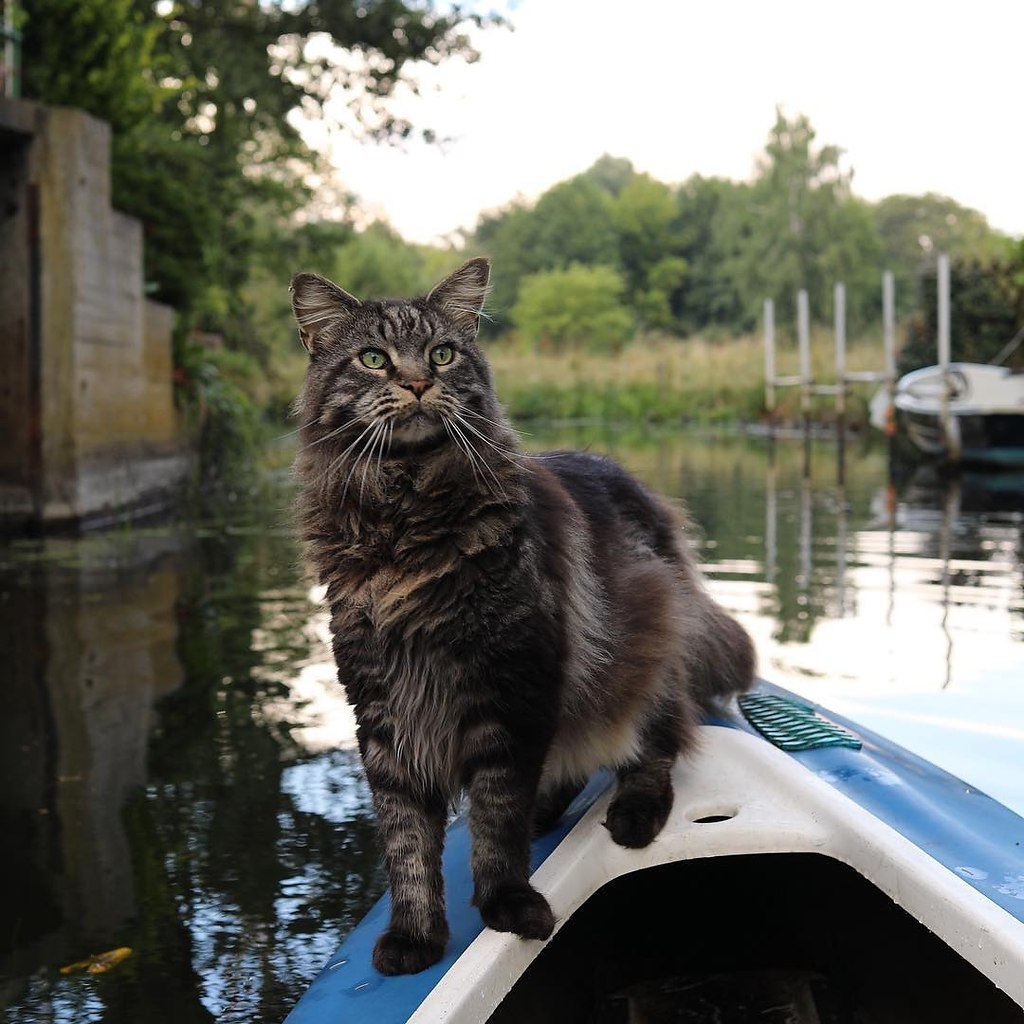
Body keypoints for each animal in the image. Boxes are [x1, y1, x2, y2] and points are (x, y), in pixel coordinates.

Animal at [288, 256, 753, 974]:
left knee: (656, 743)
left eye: (443, 353)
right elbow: (407, 839)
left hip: (644, 650)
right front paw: (415, 937)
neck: (406, 521)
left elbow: (497, 814)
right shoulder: (384, 708)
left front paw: (506, 904)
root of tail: (642, 493)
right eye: (372, 359)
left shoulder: (510, 686)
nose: (418, 383)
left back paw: (633, 814)